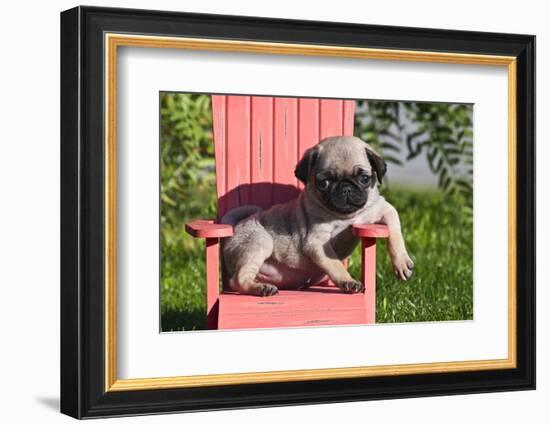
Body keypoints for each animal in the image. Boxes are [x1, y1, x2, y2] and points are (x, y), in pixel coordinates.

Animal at [220, 136, 414, 294]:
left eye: (364, 179)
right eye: (324, 182)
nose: (346, 188)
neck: (345, 217)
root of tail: (236, 228)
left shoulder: (383, 208)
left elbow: (395, 230)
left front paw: (401, 262)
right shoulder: (317, 242)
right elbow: (335, 263)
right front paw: (347, 281)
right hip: (259, 242)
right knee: (238, 280)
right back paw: (260, 288)